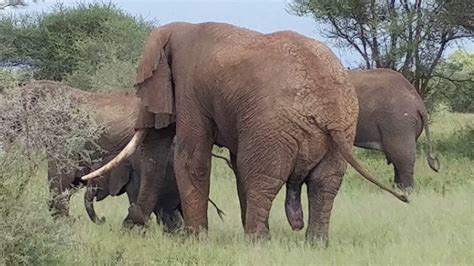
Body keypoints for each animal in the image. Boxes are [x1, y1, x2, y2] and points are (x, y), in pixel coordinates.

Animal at [82, 21, 408, 244]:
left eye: (142, 87)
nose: (127, 225)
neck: (180, 28)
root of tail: (325, 103)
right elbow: (234, 165)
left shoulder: (190, 90)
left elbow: (191, 157)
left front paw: (194, 240)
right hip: (342, 126)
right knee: (324, 184)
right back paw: (315, 244)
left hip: (275, 126)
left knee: (262, 178)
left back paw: (256, 242)